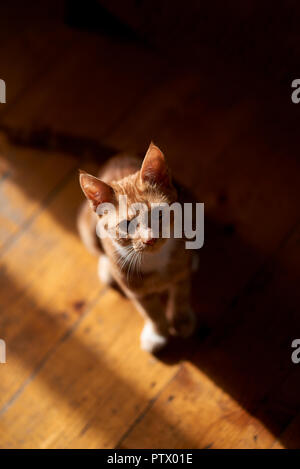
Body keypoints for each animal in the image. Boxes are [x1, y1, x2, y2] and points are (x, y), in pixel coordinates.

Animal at [77, 143, 197, 352]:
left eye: (158, 213)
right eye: (126, 225)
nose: (149, 239)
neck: (155, 259)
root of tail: (118, 157)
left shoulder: (181, 271)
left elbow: (181, 294)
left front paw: (181, 320)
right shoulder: (135, 290)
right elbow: (151, 312)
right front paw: (158, 334)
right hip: (87, 228)